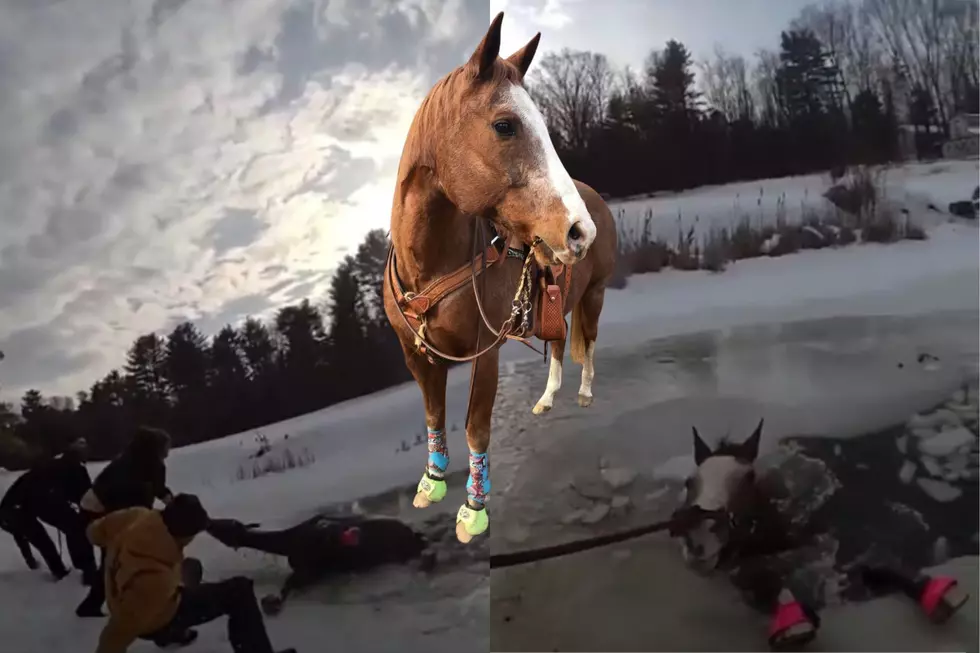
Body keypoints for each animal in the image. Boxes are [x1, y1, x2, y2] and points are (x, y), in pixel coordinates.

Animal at [383, 11, 617, 544]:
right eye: (505, 125)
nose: (579, 231)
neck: (429, 266)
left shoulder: (482, 353)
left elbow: (476, 426)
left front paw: (474, 510)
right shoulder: (416, 356)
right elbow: (433, 415)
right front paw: (432, 483)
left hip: (594, 294)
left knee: (589, 342)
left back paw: (584, 394)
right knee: (559, 344)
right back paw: (547, 400)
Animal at [669, 420, 971, 651]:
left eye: (748, 477)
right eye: (690, 482)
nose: (699, 540)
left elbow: (874, 561)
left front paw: (938, 593)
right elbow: (769, 586)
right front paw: (794, 624)